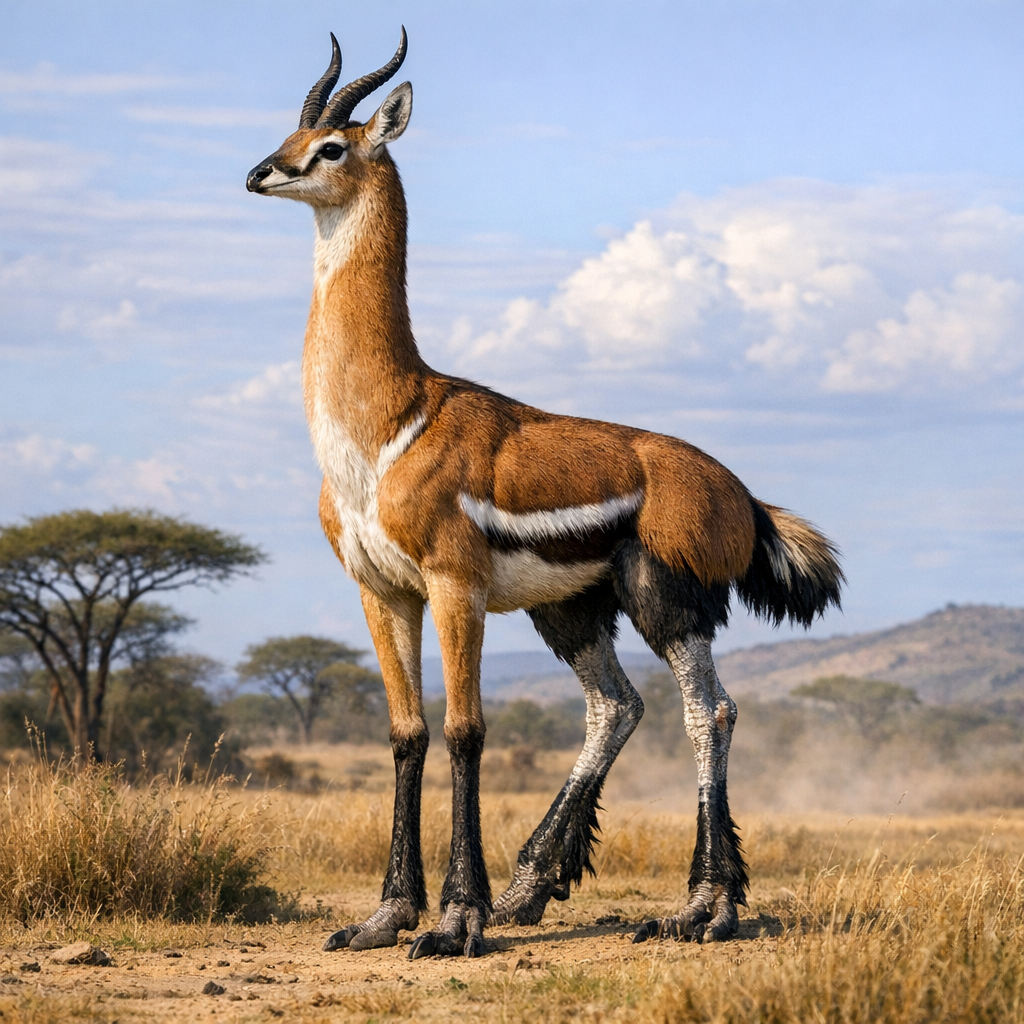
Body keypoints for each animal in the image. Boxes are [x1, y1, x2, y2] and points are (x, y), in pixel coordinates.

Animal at [246, 30, 843, 959]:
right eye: (292, 134)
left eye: (333, 146)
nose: (261, 171)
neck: (388, 423)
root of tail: (741, 493)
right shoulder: (381, 592)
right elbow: (407, 734)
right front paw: (385, 916)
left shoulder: (455, 586)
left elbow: (465, 732)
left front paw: (454, 920)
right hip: (569, 611)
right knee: (617, 706)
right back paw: (532, 887)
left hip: (663, 602)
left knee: (710, 710)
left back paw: (700, 910)